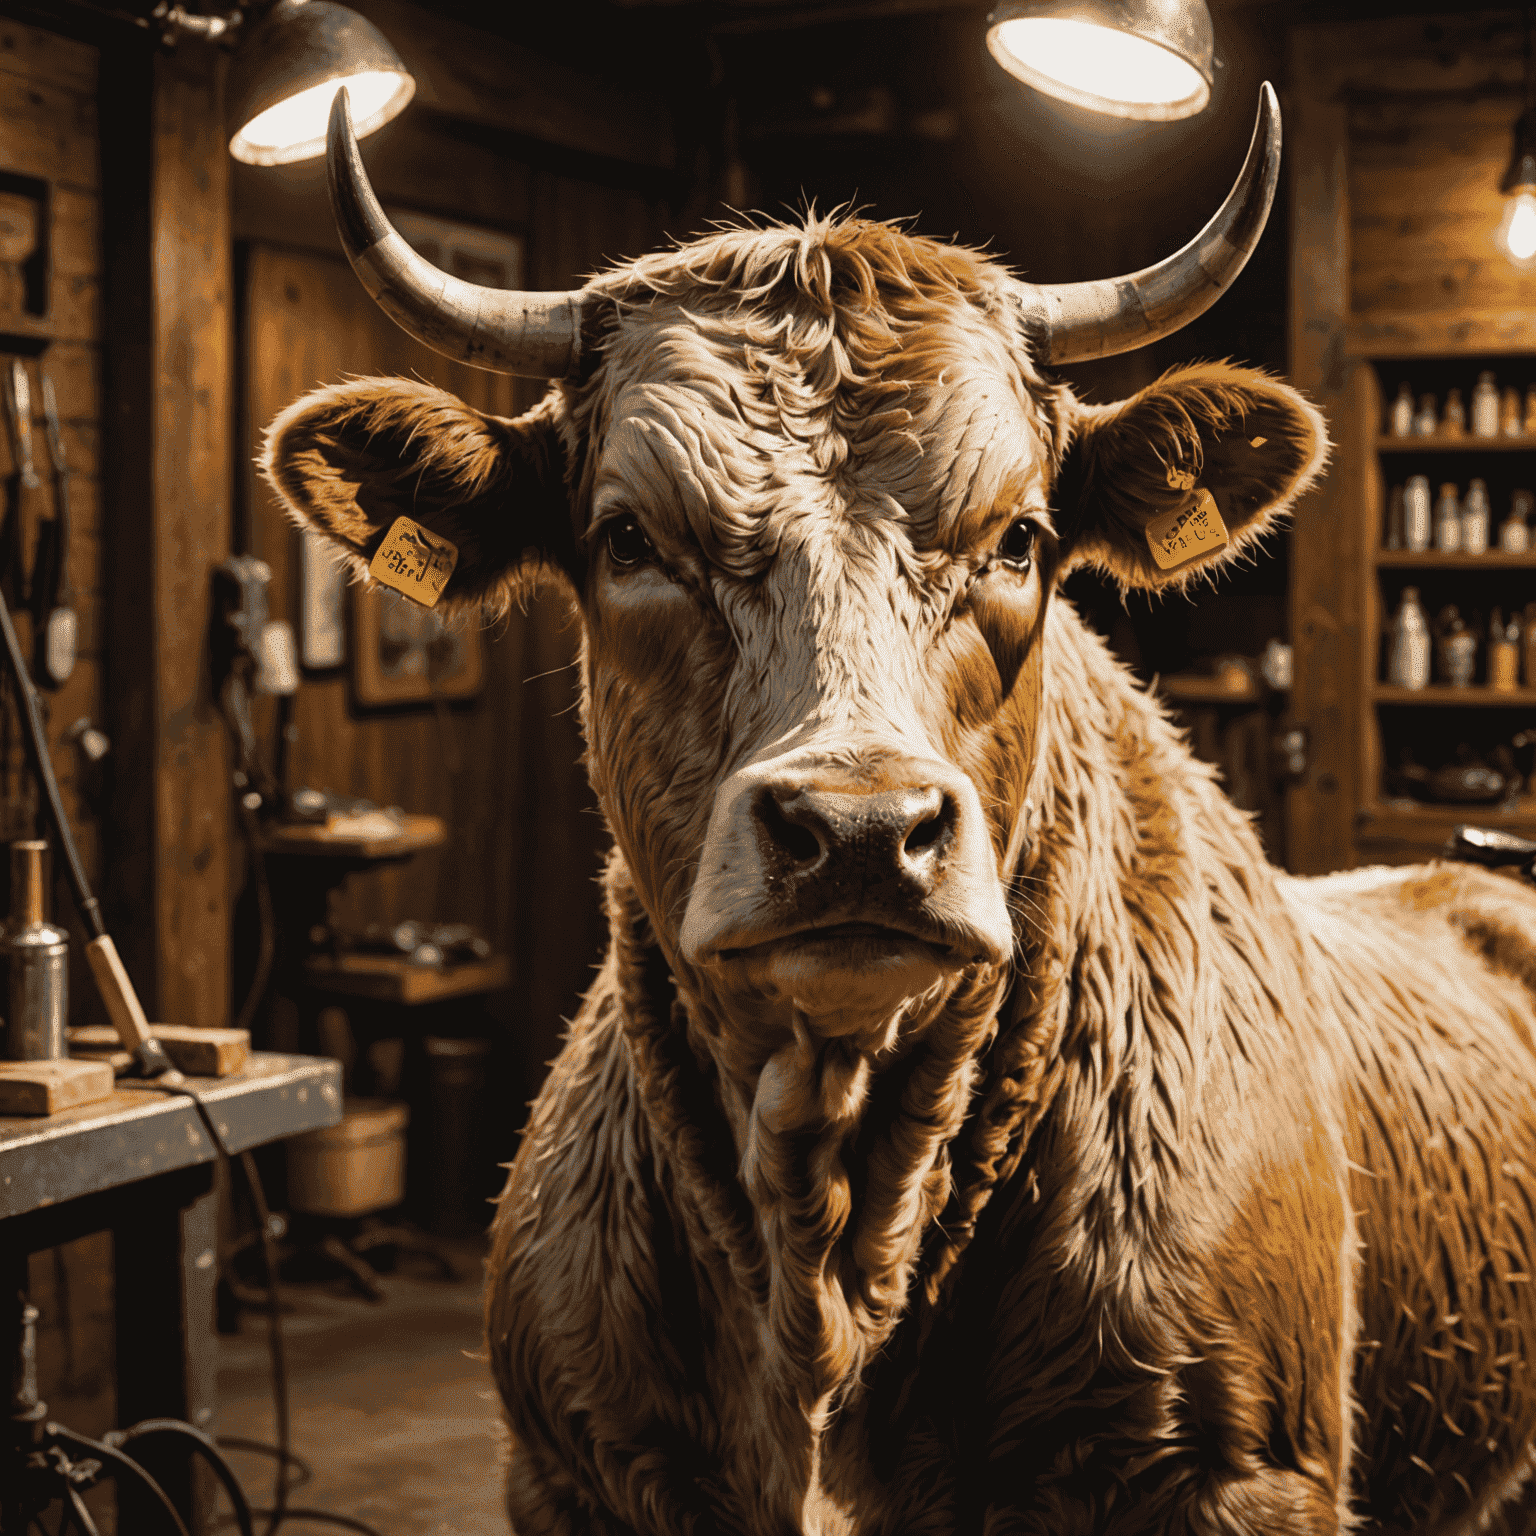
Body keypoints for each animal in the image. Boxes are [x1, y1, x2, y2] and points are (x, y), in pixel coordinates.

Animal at [261, 87, 1536, 1536]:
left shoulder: (1237, 1476)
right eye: (629, 540)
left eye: (1022, 538)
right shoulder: (572, 1470)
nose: (862, 832)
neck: (830, 1245)